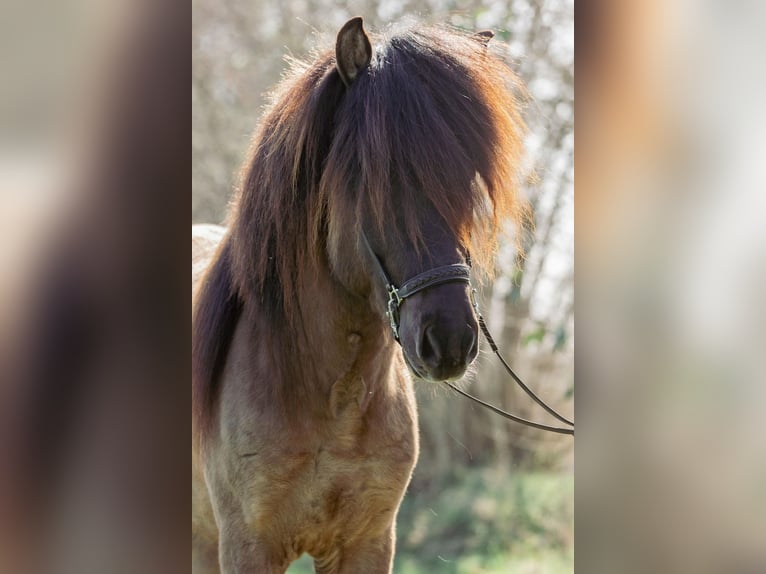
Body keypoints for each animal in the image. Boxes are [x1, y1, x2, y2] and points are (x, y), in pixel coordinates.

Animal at [192, 17, 526, 573]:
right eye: (374, 177)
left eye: (467, 182)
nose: (450, 340)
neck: (330, 395)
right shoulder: (246, 548)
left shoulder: (368, 541)